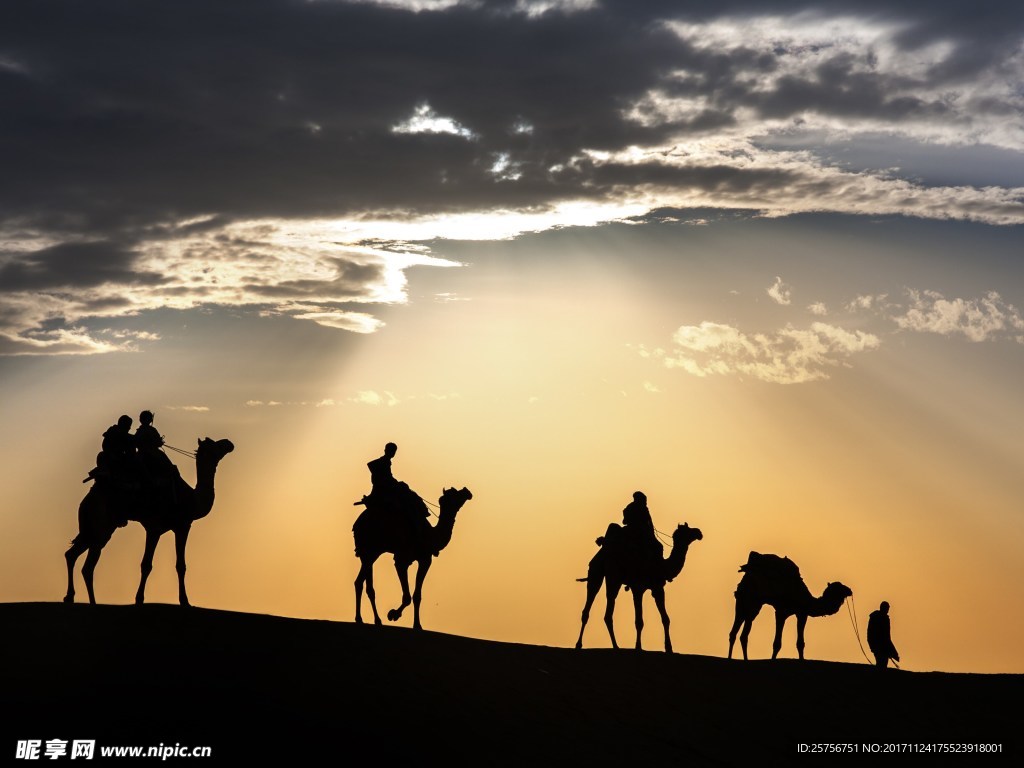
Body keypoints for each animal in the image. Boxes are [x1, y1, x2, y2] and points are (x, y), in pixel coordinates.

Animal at [65, 442, 236, 610]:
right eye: (214, 445)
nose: (229, 443)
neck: (193, 500)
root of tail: (86, 500)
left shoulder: (158, 529)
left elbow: (152, 564)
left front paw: (141, 599)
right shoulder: (179, 526)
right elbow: (172, 565)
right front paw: (183, 601)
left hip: (94, 528)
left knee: (72, 555)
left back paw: (71, 597)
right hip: (100, 525)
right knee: (87, 565)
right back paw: (91, 602)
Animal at [354, 487, 473, 630]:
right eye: (454, 494)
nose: (466, 491)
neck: (429, 535)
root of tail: (359, 522)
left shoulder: (425, 559)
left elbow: (417, 596)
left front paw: (417, 625)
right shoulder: (402, 559)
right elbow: (407, 596)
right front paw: (393, 614)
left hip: (370, 552)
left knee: (361, 582)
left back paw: (367, 619)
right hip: (371, 548)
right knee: (364, 584)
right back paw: (369, 619)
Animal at [577, 524, 704, 655]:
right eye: (687, 530)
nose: (698, 532)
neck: (661, 566)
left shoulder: (657, 588)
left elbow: (666, 619)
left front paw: (669, 648)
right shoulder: (637, 588)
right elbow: (639, 621)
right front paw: (638, 647)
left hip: (605, 575)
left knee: (600, 610)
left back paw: (610, 646)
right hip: (608, 576)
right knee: (597, 605)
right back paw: (587, 645)